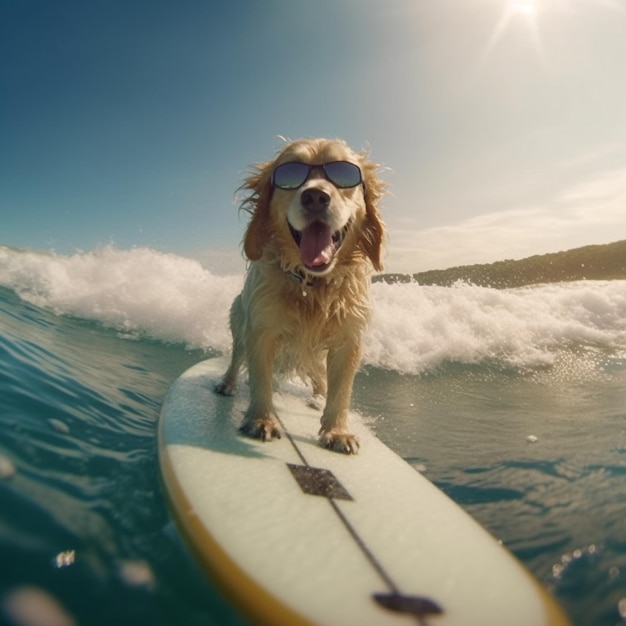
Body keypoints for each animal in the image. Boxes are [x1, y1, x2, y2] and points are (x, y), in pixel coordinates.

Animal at [216, 136, 386, 450]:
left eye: (345, 173)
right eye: (290, 174)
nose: (315, 197)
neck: (312, 284)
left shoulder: (349, 337)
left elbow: (340, 390)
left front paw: (337, 431)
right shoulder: (261, 328)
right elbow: (261, 377)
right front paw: (261, 419)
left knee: (319, 376)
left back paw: (317, 398)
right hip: (238, 317)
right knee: (237, 355)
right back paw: (227, 383)